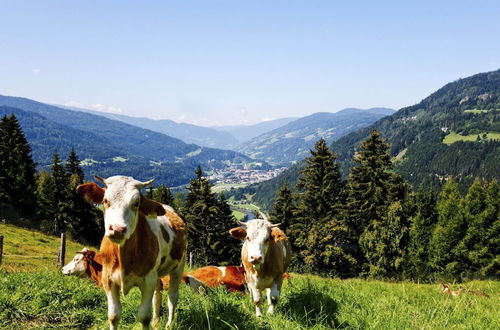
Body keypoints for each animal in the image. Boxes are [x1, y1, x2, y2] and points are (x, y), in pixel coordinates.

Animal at [76, 177, 188, 330]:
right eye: (105, 201)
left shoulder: (148, 280)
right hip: (157, 273)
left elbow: (144, 316)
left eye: (136, 203)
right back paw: (156, 322)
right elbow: (113, 316)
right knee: (157, 292)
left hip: (179, 265)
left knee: (172, 295)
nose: (117, 229)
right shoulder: (108, 279)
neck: (123, 256)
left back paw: (169, 324)